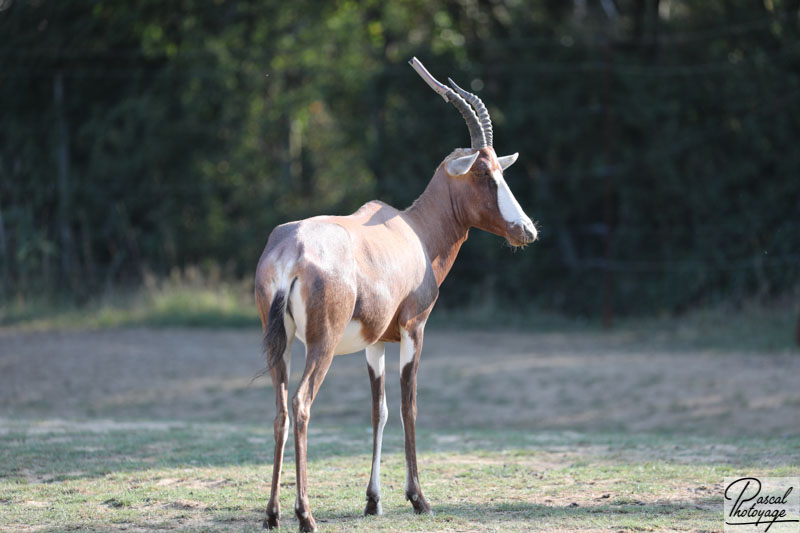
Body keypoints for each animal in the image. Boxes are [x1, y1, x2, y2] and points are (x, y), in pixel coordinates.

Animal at [253, 58, 536, 532]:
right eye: (483, 172)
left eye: (501, 169)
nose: (527, 230)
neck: (412, 231)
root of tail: (291, 251)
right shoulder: (413, 329)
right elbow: (409, 406)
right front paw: (419, 498)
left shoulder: (374, 343)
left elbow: (378, 411)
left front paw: (373, 500)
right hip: (321, 345)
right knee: (302, 403)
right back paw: (305, 514)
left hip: (282, 342)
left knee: (279, 410)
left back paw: (273, 513)